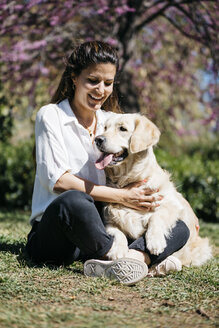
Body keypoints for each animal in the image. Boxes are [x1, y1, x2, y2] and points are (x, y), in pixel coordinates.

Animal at [94, 113, 212, 266]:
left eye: (122, 129)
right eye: (105, 128)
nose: (98, 139)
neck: (127, 180)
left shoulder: (173, 205)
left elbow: (156, 217)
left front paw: (155, 242)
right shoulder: (108, 218)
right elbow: (115, 231)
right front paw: (117, 250)